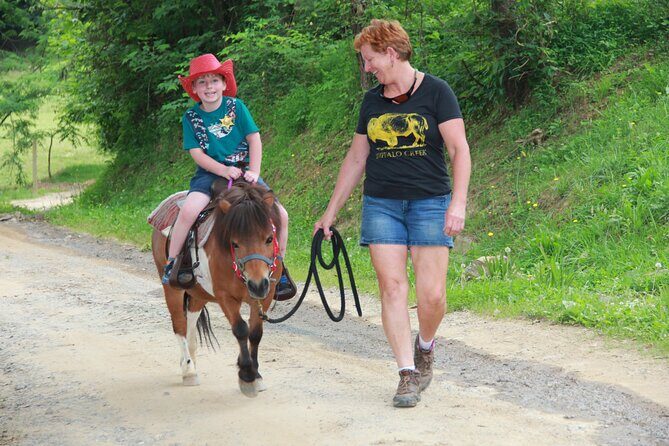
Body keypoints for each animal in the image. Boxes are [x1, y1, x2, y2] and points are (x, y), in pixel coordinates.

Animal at [151, 181, 283, 397]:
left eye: (269, 239)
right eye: (234, 243)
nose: (257, 284)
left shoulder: (265, 295)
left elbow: (255, 333)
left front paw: (256, 375)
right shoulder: (225, 297)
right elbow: (241, 329)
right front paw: (246, 375)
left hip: (198, 294)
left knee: (191, 323)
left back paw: (188, 362)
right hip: (172, 289)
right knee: (179, 325)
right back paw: (189, 372)